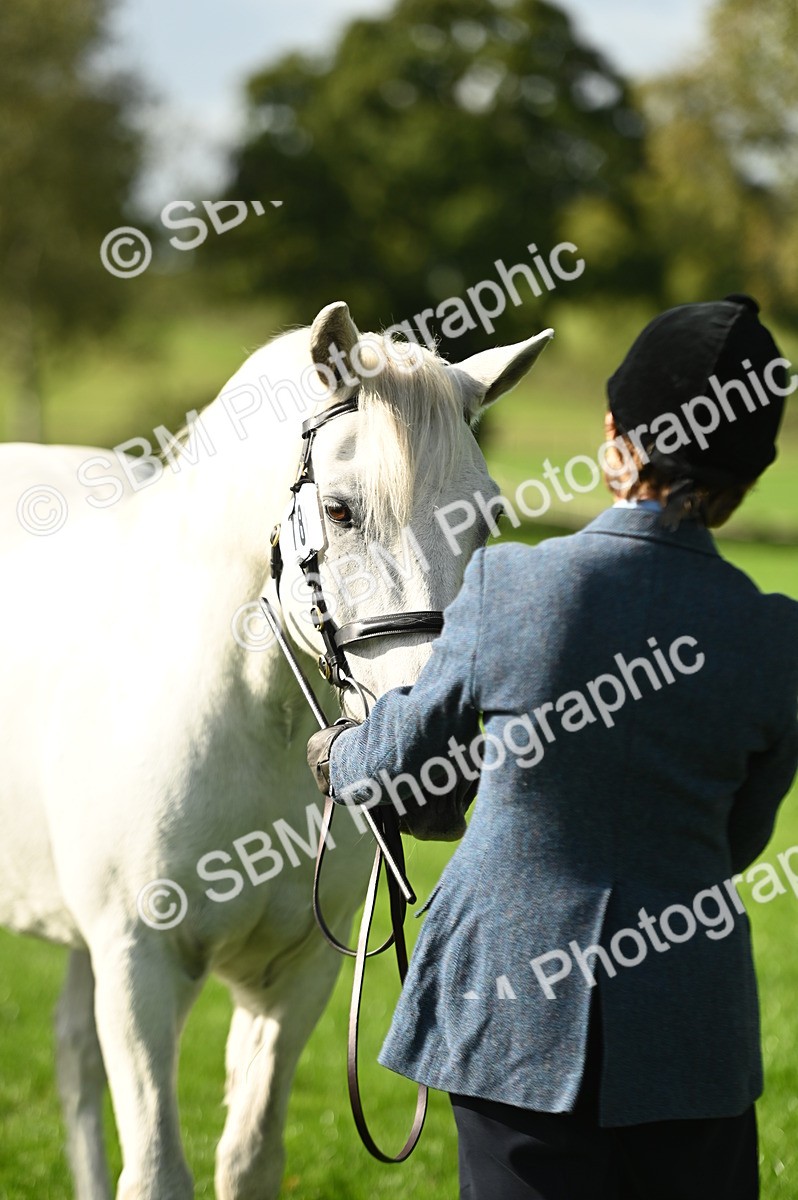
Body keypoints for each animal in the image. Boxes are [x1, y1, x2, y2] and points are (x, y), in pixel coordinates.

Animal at [0, 300, 552, 1199]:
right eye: (341, 510)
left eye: (489, 517)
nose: (434, 767)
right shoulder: (140, 968)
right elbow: (157, 1170)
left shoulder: (293, 978)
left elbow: (251, 1157)